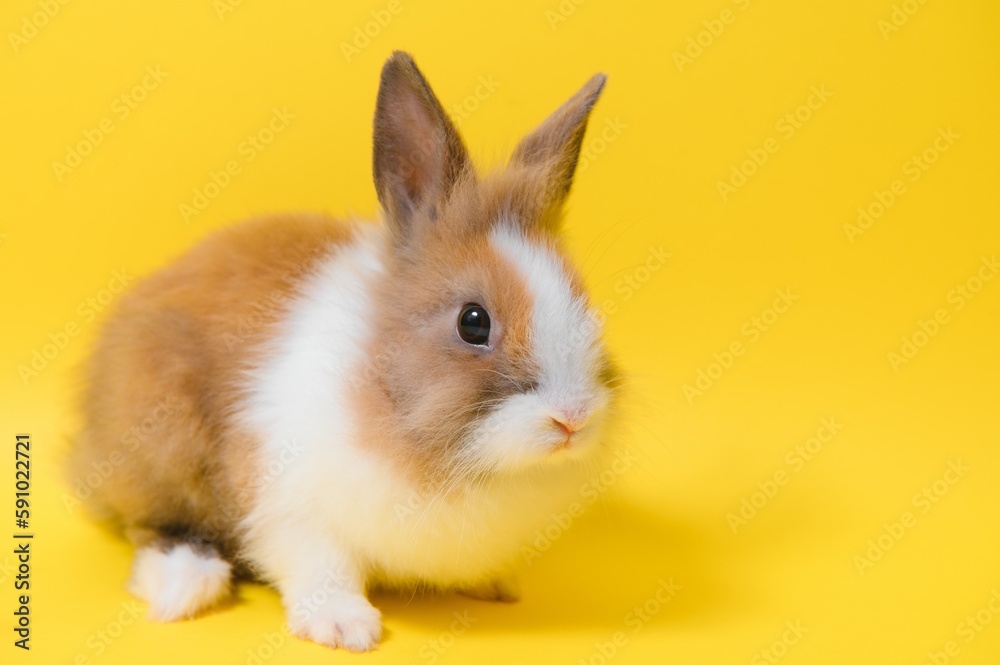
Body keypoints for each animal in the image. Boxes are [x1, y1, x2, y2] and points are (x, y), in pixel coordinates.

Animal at [74, 50, 616, 648]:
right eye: (473, 322)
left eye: (584, 302)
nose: (572, 419)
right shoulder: (291, 501)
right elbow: (321, 564)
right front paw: (344, 627)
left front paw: (498, 585)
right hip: (160, 438)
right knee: (151, 527)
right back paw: (187, 586)